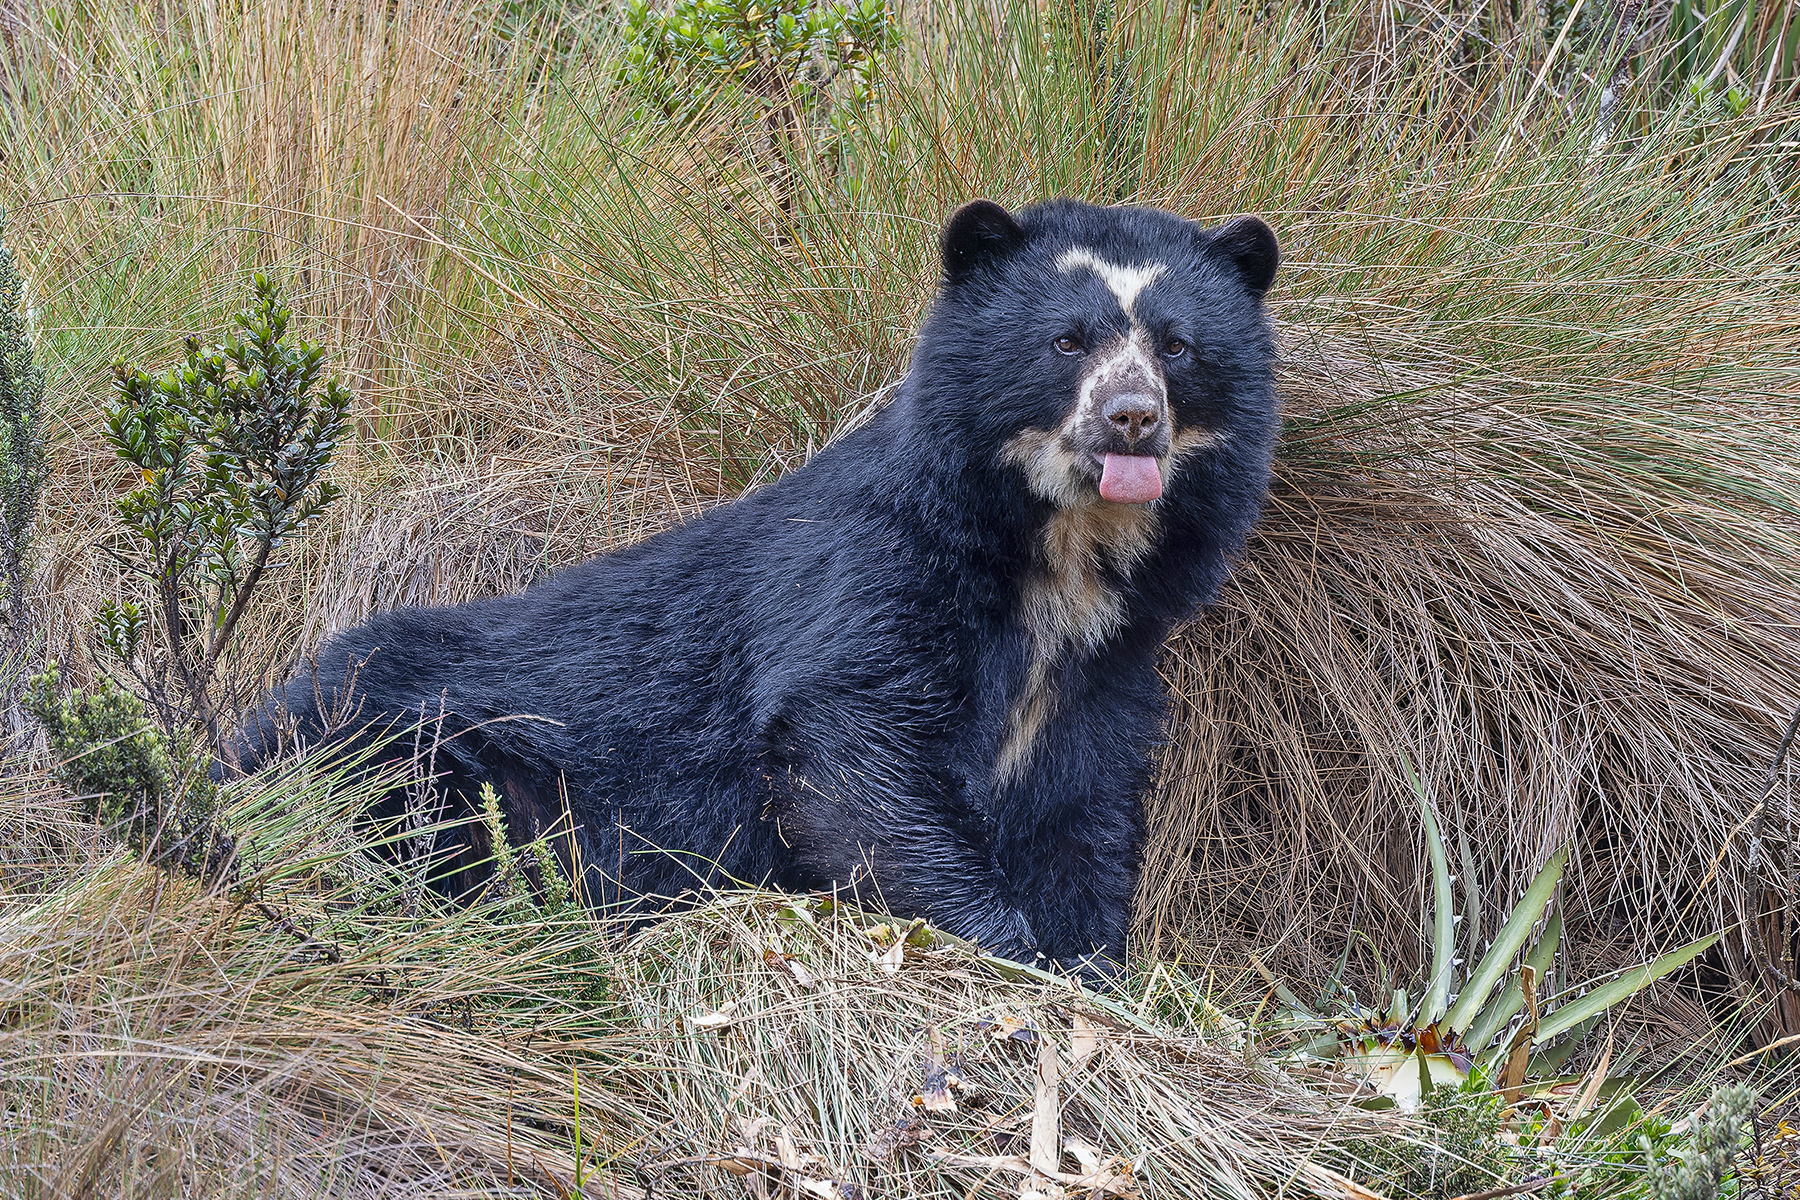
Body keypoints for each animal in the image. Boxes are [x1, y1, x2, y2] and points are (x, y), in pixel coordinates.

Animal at [235, 198, 1281, 976]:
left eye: (1178, 346)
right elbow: (853, 742)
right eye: (1066, 341)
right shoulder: (875, 573)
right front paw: (1010, 949)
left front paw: (1091, 961)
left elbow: (1085, 808)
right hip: (413, 755)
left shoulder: (1107, 665)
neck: (1061, 558)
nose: (1131, 417)